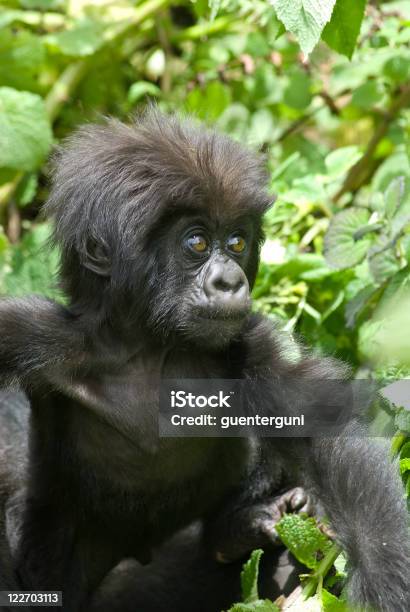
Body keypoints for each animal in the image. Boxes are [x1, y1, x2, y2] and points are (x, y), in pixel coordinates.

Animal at [0, 111, 408, 612]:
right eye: (195, 243)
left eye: (236, 242)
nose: (230, 281)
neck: (149, 345)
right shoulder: (37, 335)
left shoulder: (248, 341)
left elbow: (322, 429)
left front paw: (388, 580)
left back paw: (236, 531)